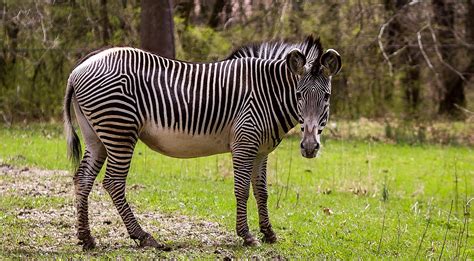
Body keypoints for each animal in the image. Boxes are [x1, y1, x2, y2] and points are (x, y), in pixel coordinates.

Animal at [64, 35, 340, 249]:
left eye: (326, 96)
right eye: (298, 95)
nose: (309, 147)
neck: (267, 94)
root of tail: (79, 68)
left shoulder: (261, 151)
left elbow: (262, 192)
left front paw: (269, 233)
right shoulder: (244, 144)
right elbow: (242, 190)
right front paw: (247, 235)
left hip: (96, 137)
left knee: (83, 179)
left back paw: (86, 239)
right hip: (120, 131)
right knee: (113, 182)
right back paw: (143, 237)